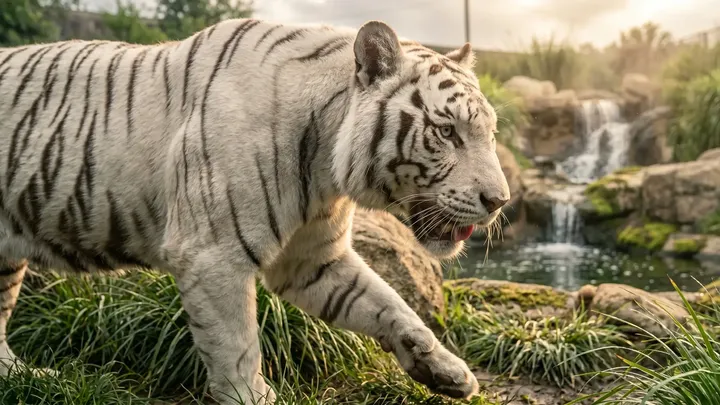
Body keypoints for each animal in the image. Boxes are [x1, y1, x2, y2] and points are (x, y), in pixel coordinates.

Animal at [0, 17, 510, 404]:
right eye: (446, 132)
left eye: (490, 133)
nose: (499, 201)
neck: (325, 166)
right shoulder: (212, 255)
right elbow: (237, 345)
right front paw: (253, 397)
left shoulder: (312, 260)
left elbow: (389, 304)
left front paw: (445, 369)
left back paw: (27, 377)